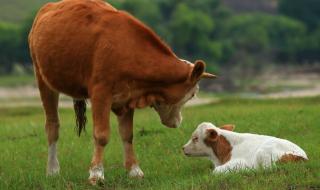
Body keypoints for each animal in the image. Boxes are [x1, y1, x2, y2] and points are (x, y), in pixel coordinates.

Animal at [28, 0, 216, 184]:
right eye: (192, 94)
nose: (178, 121)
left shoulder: (128, 97)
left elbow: (127, 135)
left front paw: (134, 170)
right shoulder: (100, 93)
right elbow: (101, 135)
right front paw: (96, 173)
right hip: (42, 78)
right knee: (52, 125)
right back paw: (52, 170)